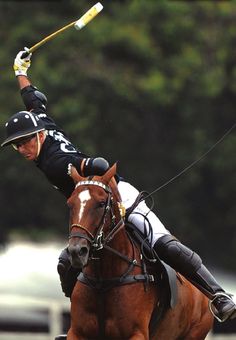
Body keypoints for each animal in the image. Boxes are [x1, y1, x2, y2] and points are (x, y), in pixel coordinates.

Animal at [66, 163, 212, 338]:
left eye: (101, 204)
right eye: (70, 204)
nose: (77, 251)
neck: (104, 279)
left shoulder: (137, 333)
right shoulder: (76, 332)